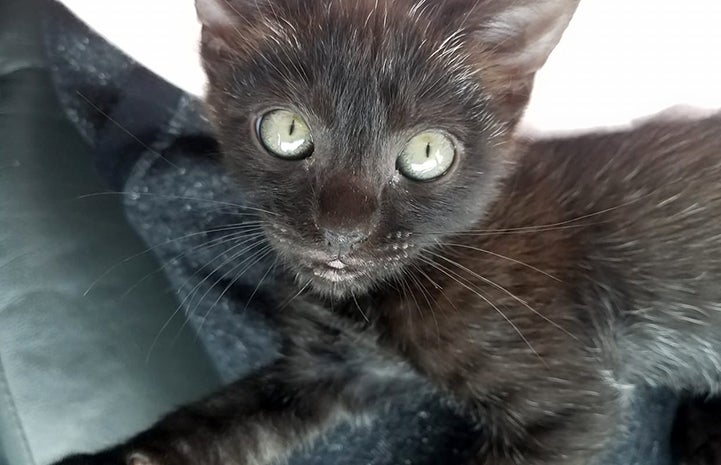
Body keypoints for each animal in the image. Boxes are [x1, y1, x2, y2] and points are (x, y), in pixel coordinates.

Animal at [56, 0, 720, 464]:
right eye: (287, 131)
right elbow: (215, 427)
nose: (343, 232)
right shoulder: (327, 370)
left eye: (427, 153)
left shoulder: (571, 406)